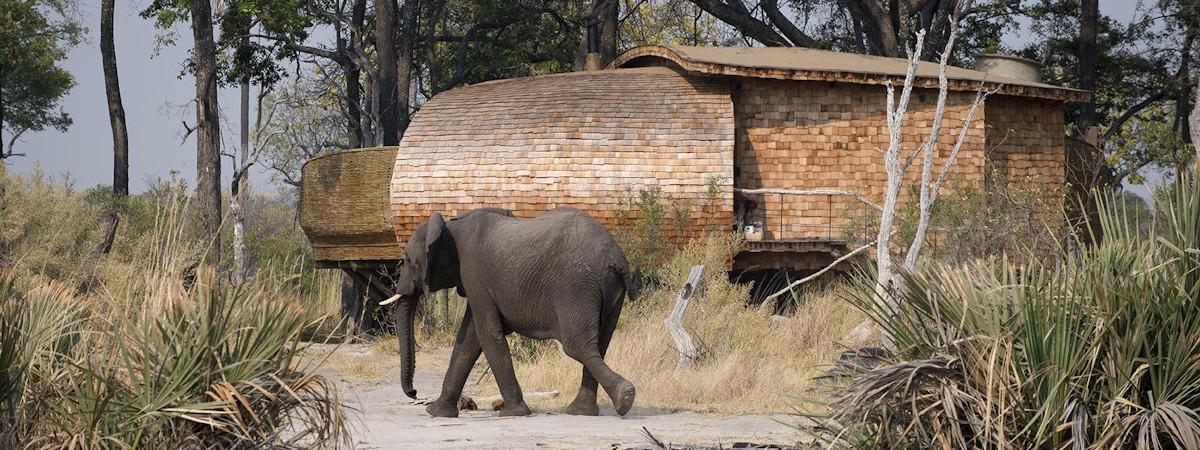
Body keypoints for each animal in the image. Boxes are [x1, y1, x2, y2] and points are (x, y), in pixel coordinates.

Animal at [391, 207, 638, 420]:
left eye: (409, 261)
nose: (414, 393)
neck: (451, 226)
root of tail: (617, 257)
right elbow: (468, 339)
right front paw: (437, 412)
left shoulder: (474, 274)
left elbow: (487, 334)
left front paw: (514, 413)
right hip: (609, 289)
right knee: (601, 344)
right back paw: (585, 411)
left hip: (577, 287)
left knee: (577, 346)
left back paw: (624, 397)